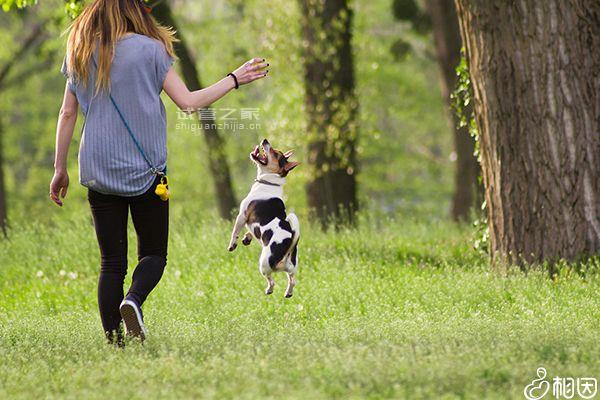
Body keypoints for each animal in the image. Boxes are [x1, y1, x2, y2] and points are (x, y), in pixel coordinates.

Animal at [227, 138, 300, 296]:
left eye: (275, 153)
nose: (265, 140)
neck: (270, 182)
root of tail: (289, 246)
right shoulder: (250, 223)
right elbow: (250, 231)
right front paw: (247, 238)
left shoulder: (242, 216)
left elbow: (235, 231)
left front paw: (232, 244)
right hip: (291, 268)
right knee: (292, 280)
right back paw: (288, 293)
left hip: (263, 264)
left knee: (272, 281)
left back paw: (268, 290)